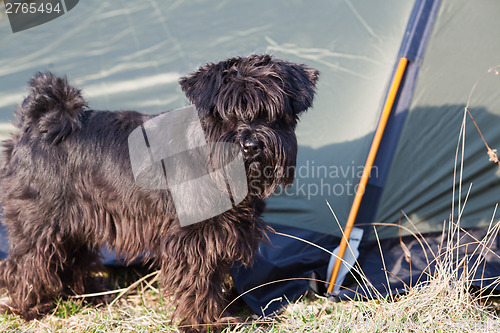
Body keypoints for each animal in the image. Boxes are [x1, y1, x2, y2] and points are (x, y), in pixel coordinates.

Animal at [0, 53, 320, 330]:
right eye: (223, 114)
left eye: (271, 112)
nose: (251, 145)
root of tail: (35, 124)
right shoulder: (193, 240)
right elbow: (198, 283)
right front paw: (203, 324)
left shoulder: (218, 235)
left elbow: (212, 278)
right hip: (39, 222)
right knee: (26, 263)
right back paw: (30, 307)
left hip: (73, 222)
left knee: (69, 258)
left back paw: (87, 293)